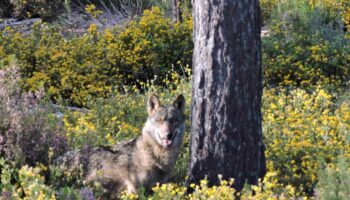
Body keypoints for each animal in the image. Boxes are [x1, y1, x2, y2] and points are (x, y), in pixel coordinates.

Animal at [55, 94, 186, 198]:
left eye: (174, 121)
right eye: (159, 121)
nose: (168, 135)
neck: (154, 153)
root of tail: (57, 159)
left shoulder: (157, 187)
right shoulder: (134, 189)